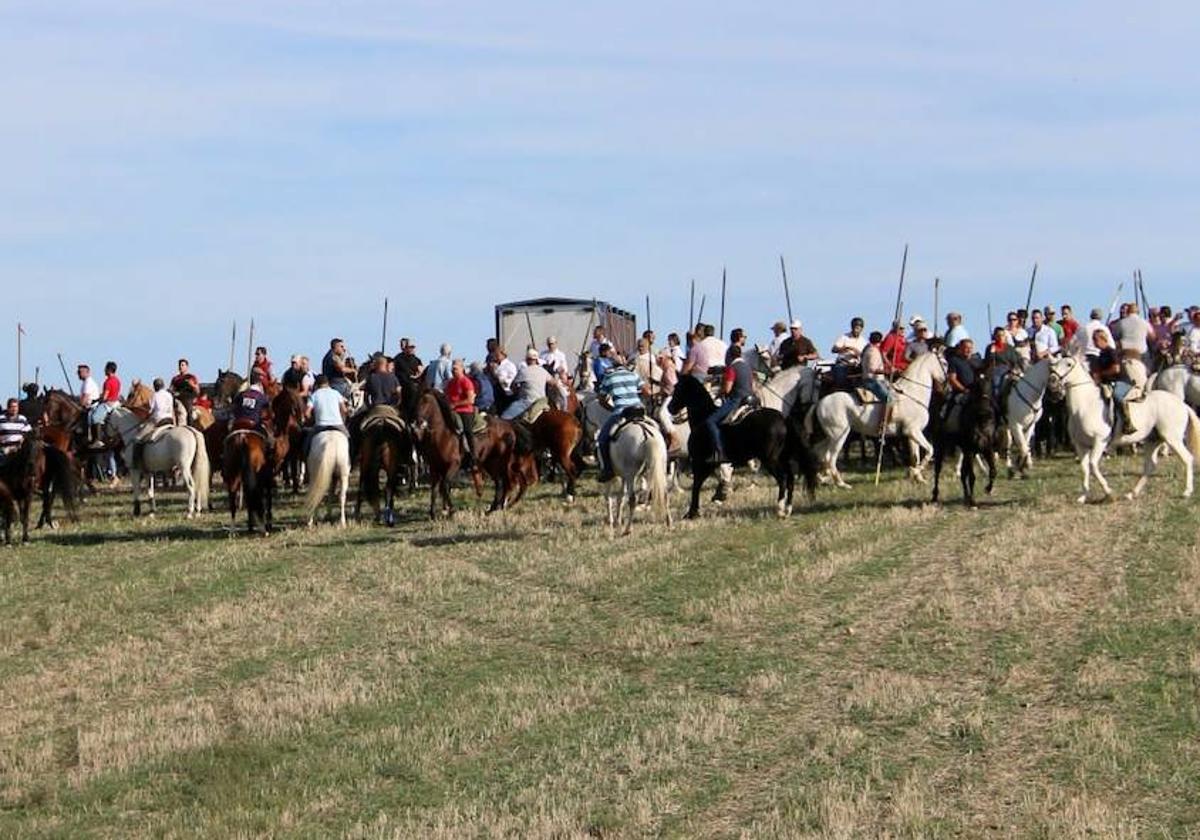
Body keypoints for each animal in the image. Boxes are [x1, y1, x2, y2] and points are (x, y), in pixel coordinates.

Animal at [662, 376, 820, 518]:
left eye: (678, 388)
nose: (670, 408)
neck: (703, 418)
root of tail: (783, 418)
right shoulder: (711, 464)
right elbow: (716, 478)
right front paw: (718, 496)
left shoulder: (700, 463)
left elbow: (697, 485)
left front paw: (692, 512)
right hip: (783, 458)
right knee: (790, 480)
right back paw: (788, 509)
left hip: (771, 460)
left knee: (782, 479)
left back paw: (780, 509)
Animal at [806, 350, 945, 489]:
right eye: (943, 362)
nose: (945, 382)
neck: (913, 393)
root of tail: (819, 403)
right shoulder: (912, 431)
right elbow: (930, 450)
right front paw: (914, 472)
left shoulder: (912, 435)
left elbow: (915, 456)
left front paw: (918, 478)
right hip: (839, 436)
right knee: (829, 458)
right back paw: (842, 484)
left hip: (829, 437)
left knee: (820, 454)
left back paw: (822, 478)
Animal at [931, 376, 998, 508]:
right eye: (976, 387)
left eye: (990, 387)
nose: (986, 412)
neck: (980, 421)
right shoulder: (970, 450)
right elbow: (972, 476)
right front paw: (973, 501)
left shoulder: (987, 449)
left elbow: (993, 471)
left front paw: (988, 489)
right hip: (940, 445)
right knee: (937, 470)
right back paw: (935, 496)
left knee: (963, 472)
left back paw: (966, 496)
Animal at [1051, 350, 1200, 501]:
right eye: (1053, 365)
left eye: (1069, 364)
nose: (1052, 381)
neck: (1084, 406)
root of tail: (1183, 405)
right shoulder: (1080, 445)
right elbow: (1084, 468)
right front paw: (1083, 496)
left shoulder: (1099, 441)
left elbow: (1092, 465)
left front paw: (1109, 493)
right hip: (1153, 440)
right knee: (1150, 466)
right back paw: (1132, 493)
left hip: (1172, 438)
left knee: (1187, 458)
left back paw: (1187, 491)